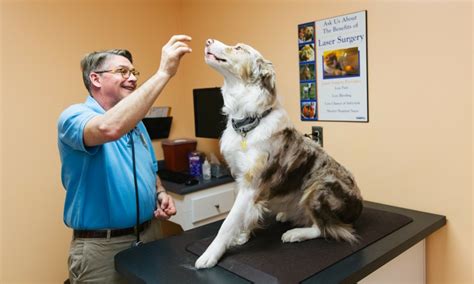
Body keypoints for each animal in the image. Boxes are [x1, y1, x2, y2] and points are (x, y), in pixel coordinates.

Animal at [196, 39, 362, 268]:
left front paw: (210, 254)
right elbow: (243, 217)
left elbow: (227, 223)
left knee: (325, 228)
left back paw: (296, 233)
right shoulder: (240, 179)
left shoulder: (251, 185)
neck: (248, 123)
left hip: (319, 186)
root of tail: (359, 209)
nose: (207, 41)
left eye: (238, 48)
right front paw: (242, 236)